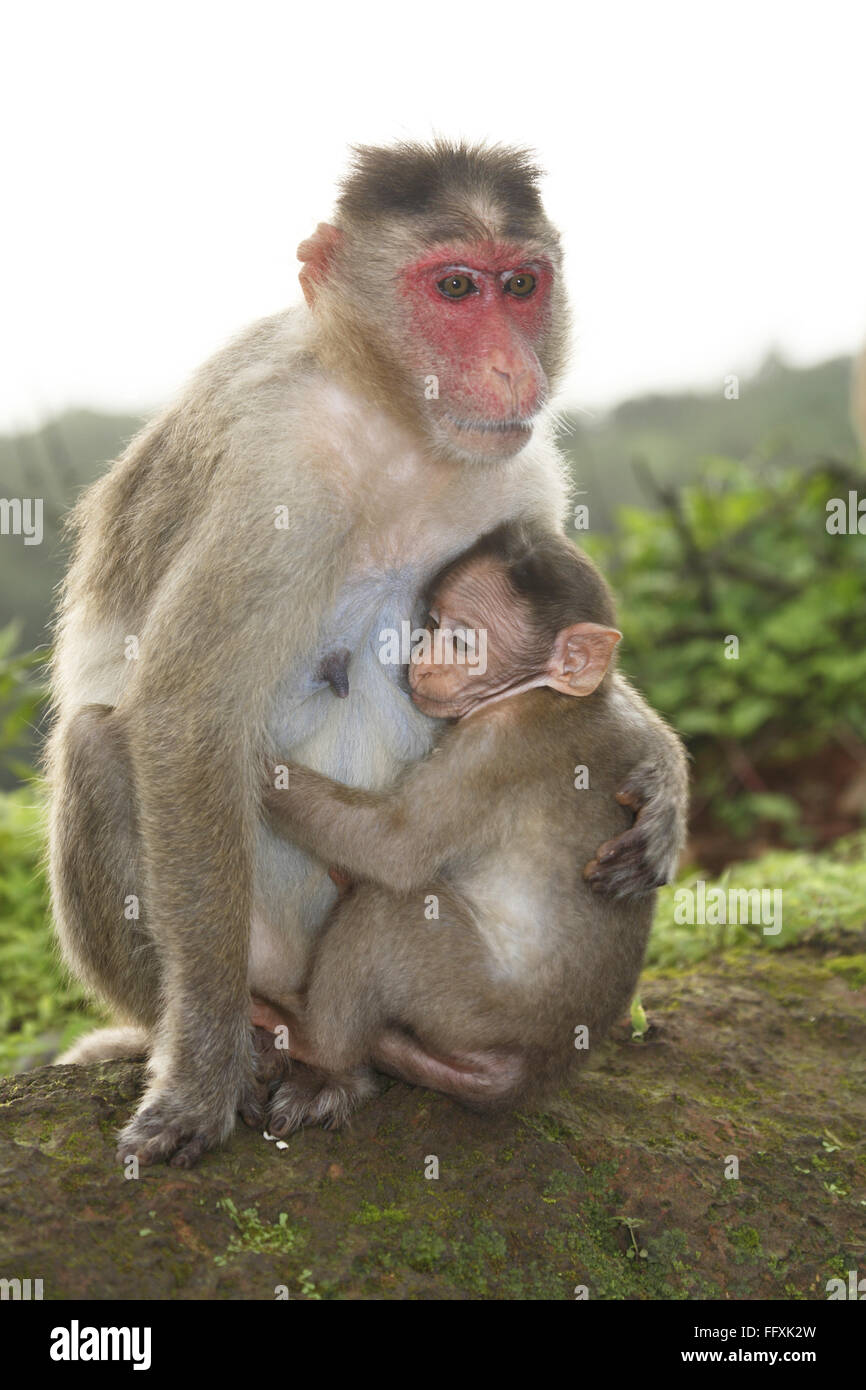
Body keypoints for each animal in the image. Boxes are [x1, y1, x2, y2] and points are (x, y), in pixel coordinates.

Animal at [264, 522, 678, 1128]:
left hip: (472, 1007)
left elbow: (394, 847)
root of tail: (537, 1070)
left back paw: (315, 1042)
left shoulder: (497, 745)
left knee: (389, 907)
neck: (543, 691)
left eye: (462, 642)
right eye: (433, 624)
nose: (422, 658)